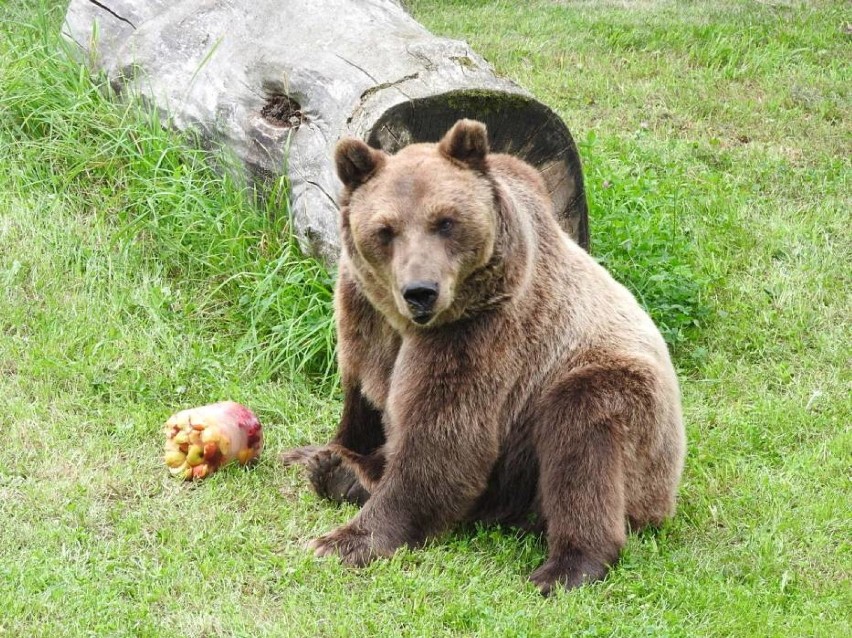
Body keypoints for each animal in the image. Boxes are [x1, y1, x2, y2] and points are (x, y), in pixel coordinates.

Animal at [282, 119, 688, 596]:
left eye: (445, 221)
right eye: (386, 230)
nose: (421, 291)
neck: (406, 322)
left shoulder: (481, 334)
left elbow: (445, 439)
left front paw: (343, 541)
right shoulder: (363, 310)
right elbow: (363, 392)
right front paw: (316, 452)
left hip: (617, 405)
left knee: (583, 439)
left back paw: (566, 567)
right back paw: (339, 472)